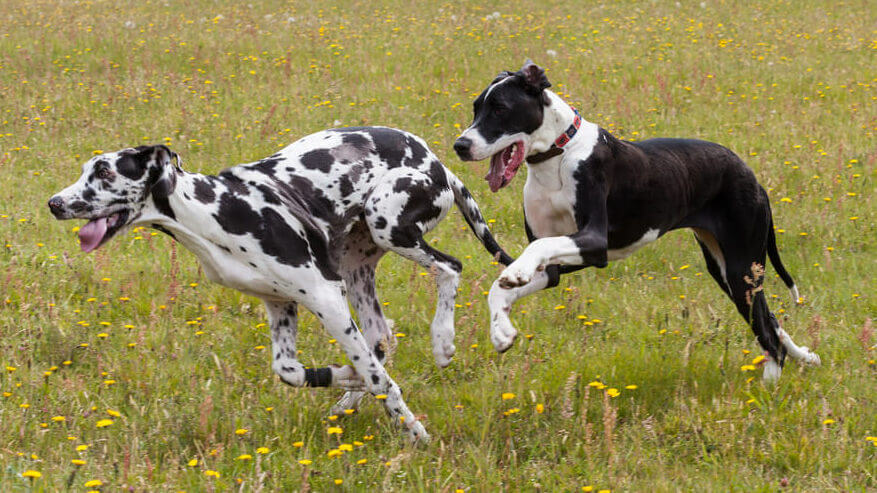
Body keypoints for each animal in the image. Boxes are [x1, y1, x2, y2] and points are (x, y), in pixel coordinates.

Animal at [48, 127, 512, 442]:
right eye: (87, 169)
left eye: (104, 172)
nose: (54, 203)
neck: (213, 211)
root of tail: (437, 161)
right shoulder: (280, 304)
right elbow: (292, 371)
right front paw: (349, 379)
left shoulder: (326, 298)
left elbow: (381, 381)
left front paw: (413, 430)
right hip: (357, 267)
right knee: (381, 338)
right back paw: (349, 400)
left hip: (388, 226)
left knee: (449, 269)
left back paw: (443, 340)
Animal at [456, 62, 816, 380]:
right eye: (476, 108)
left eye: (500, 109)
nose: (460, 145)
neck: (559, 154)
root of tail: (750, 175)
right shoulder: (556, 267)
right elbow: (500, 286)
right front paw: (501, 331)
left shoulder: (594, 242)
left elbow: (537, 250)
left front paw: (516, 272)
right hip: (726, 270)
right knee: (770, 319)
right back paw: (803, 356)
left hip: (742, 268)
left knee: (768, 334)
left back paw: (769, 390)